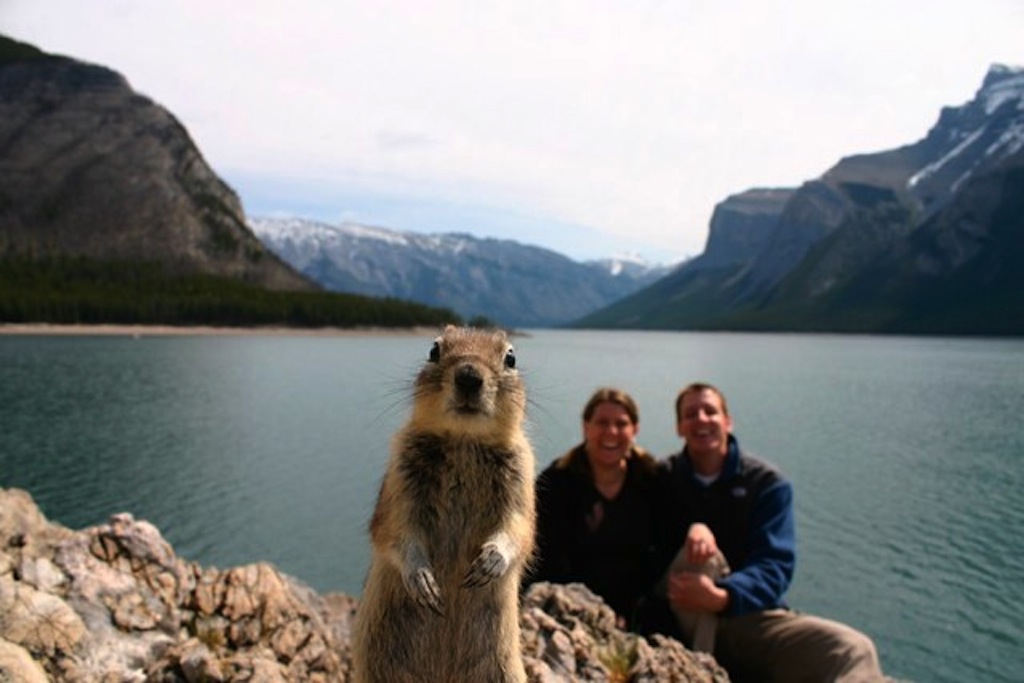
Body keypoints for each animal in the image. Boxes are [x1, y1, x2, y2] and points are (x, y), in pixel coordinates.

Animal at [352, 325, 536, 683]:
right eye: (433, 350)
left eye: (511, 357)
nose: (469, 376)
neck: (465, 439)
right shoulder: (399, 479)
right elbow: (395, 530)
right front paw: (422, 580)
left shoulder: (522, 479)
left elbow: (518, 528)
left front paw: (491, 562)